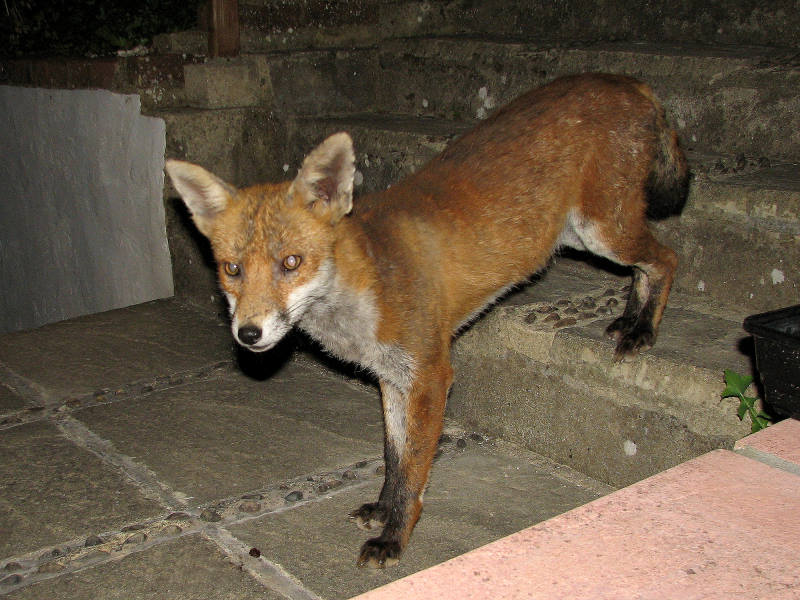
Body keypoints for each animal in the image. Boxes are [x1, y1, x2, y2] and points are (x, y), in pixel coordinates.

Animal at [165, 73, 689, 568]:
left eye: (291, 263)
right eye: (232, 269)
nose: (248, 334)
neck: (365, 291)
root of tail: (623, 80)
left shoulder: (430, 376)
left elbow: (415, 470)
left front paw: (394, 537)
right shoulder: (393, 378)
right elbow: (394, 458)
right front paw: (381, 509)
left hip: (602, 230)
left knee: (667, 257)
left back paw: (643, 330)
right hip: (578, 235)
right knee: (650, 261)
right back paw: (631, 318)